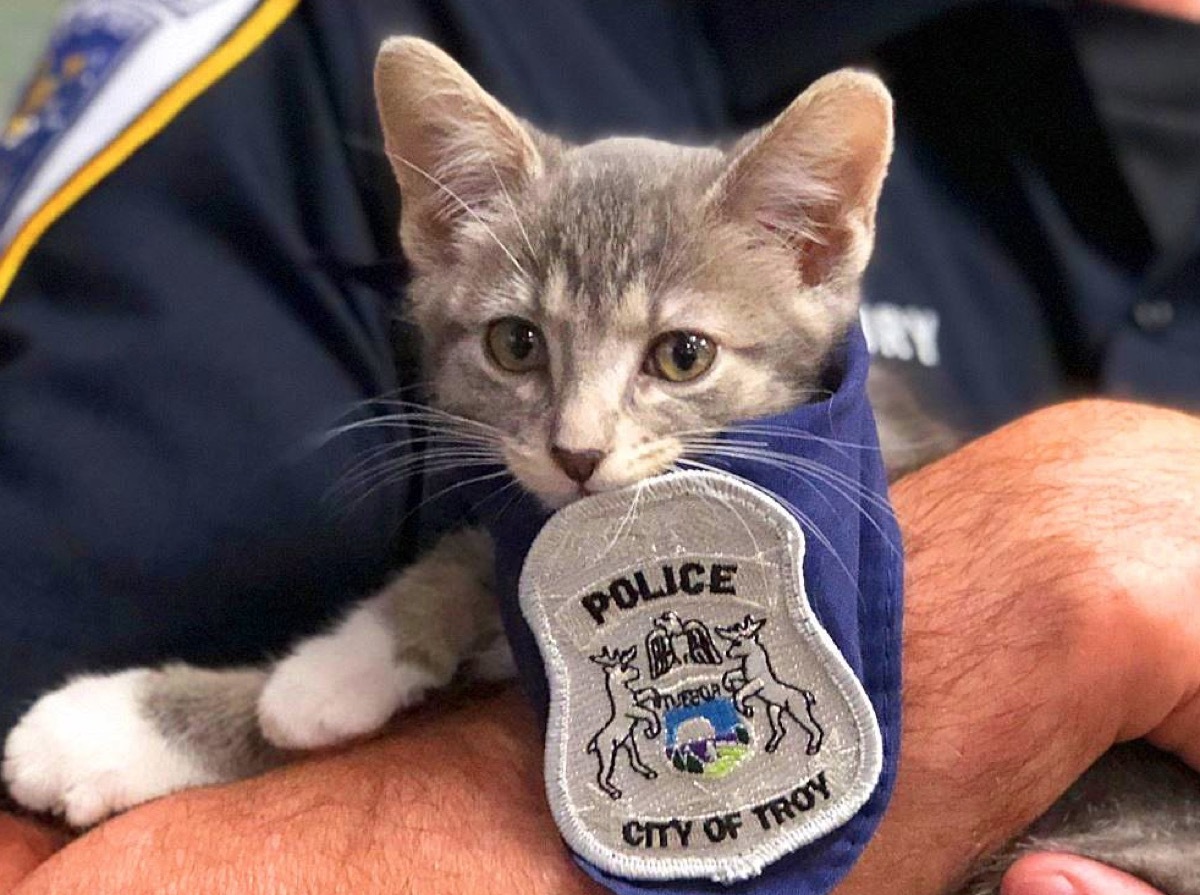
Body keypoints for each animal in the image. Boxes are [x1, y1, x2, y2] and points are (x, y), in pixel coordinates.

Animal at [2, 36, 1200, 892]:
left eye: (683, 354)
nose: (576, 450)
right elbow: (481, 545)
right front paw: (293, 683)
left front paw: (288, 686)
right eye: (515, 343)